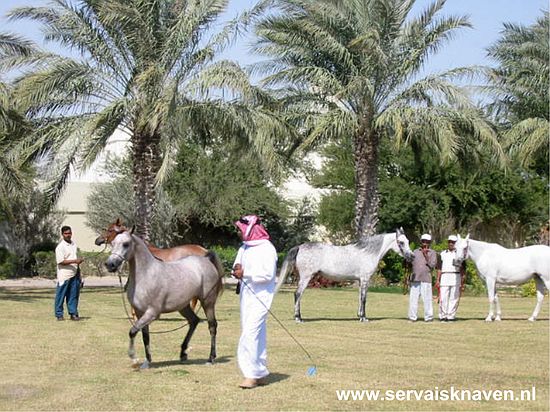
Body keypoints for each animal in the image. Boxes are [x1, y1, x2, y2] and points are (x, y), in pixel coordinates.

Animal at [103, 229, 224, 366]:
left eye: (126, 244)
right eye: (112, 243)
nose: (110, 264)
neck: (146, 275)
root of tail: (206, 260)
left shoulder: (152, 313)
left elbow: (132, 331)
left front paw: (133, 356)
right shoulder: (140, 313)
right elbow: (145, 336)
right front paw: (147, 361)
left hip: (207, 303)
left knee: (212, 326)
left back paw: (211, 358)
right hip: (183, 307)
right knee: (194, 321)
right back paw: (183, 353)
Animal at [276, 229, 414, 322]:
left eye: (408, 241)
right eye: (401, 242)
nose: (411, 256)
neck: (368, 252)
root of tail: (300, 246)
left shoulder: (360, 280)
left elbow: (359, 297)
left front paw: (359, 315)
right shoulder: (365, 279)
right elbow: (364, 298)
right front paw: (364, 318)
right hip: (306, 277)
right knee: (297, 294)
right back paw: (298, 318)